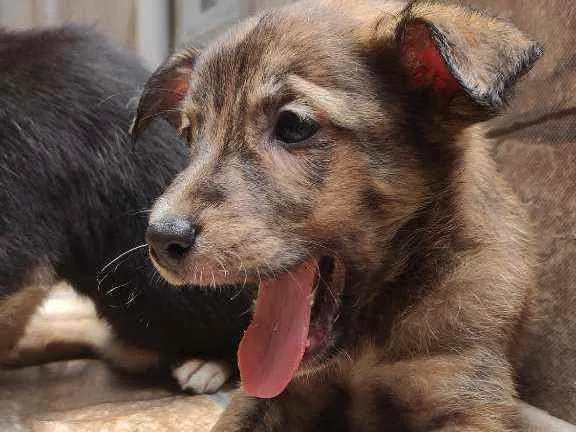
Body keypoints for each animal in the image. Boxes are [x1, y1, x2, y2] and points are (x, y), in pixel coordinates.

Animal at [133, 0, 552, 428]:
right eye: (190, 135)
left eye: (293, 124)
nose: (159, 239)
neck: (365, 345)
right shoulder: (270, 390)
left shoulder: (462, 390)